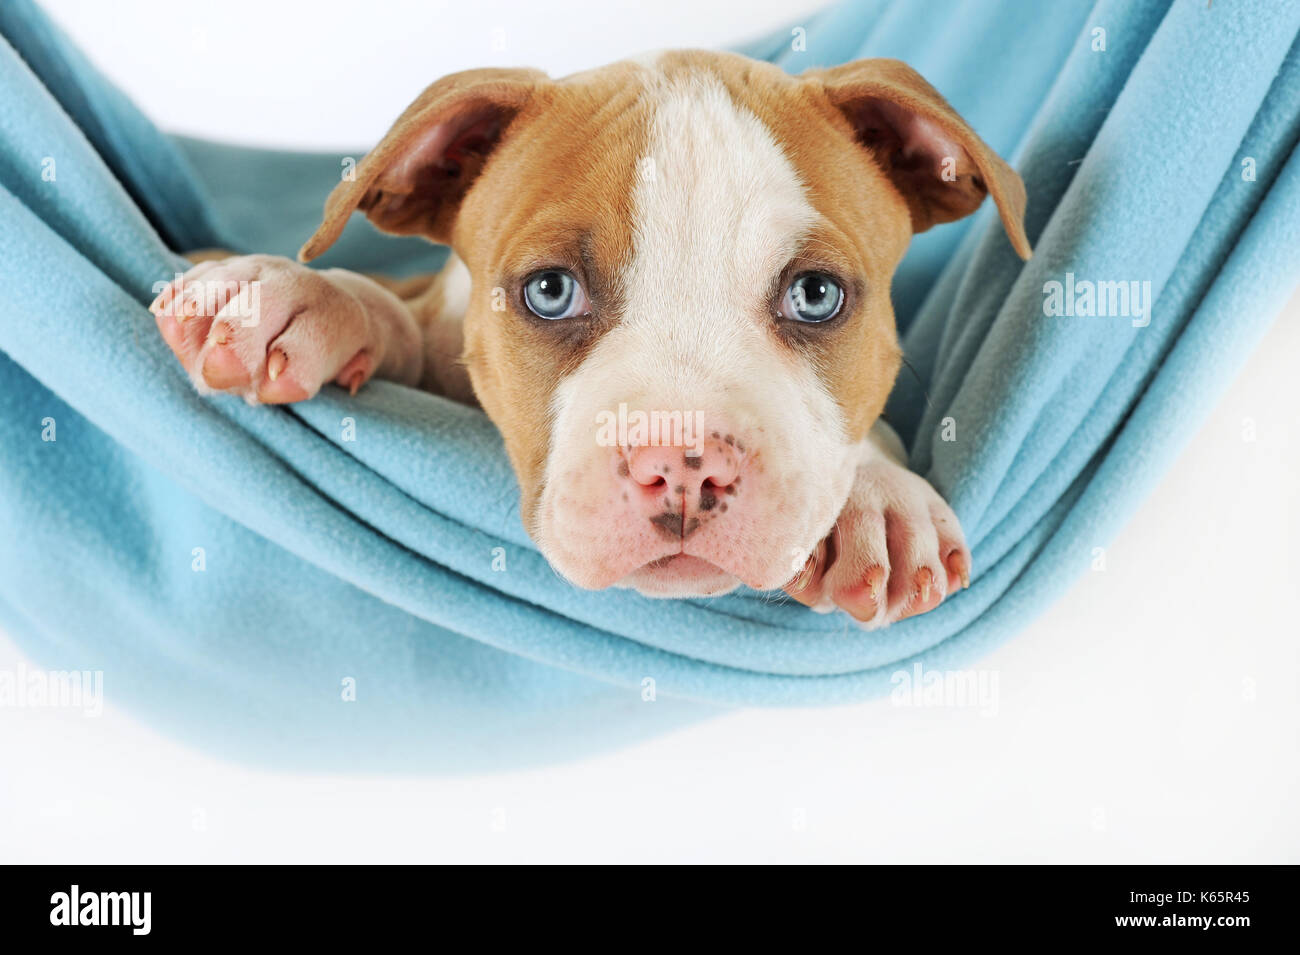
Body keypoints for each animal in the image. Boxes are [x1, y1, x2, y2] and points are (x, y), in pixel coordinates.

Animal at [149, 55, 1024, 631]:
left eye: (815, 295)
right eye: (549, 290)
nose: (682, 465)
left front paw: (881, 498)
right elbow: (388, 309)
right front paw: (295, 294)